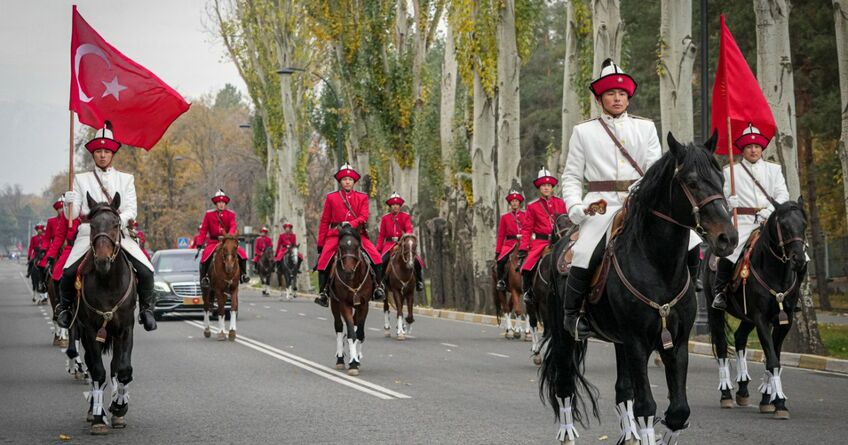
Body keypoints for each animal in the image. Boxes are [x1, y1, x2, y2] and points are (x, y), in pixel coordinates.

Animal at [76, 193, 137, 432]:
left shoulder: (125, 329)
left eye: (116, 224)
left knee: (114, 367)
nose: (102, 261)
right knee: (94, 368)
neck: (108, 282)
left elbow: (123, 369)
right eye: (92, 225)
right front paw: (98, 417)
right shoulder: (91, 331)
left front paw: (119, 408)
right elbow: (98, 372)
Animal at [330, 225, 372, 374]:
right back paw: (340, 359)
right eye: (341, 246)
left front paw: (356, 360)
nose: (348, 271)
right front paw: (353, 363)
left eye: (357, 246)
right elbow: (351, 333)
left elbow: (358, 332)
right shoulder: (344, 304)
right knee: (338, 327)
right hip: (334, 303)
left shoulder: (364, 305)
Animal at [544, 133, 736, 444]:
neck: (659, 266)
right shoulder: (636, 341)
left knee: (622, 389)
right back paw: (567, 433)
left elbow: (678, 410)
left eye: (720, 178)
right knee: (564, 384)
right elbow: (646, 405)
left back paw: (629, 434)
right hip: (564, 334)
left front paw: (662, 434)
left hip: (619, 342)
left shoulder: (676, 342)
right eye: (692, 181)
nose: (727, 238)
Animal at [704, 199, 808, 418]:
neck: (776, 272)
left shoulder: (783, 321)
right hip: (715, 312)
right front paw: (779, 403)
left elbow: (774, 357)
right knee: (722, 347)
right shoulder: (761, 319)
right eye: (783, 225)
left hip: (747, 317)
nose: (799, 260)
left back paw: (743, 388)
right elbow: (772, 359)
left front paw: (769, 398)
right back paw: (726, 394)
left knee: (739, 338)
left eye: (804, 224)